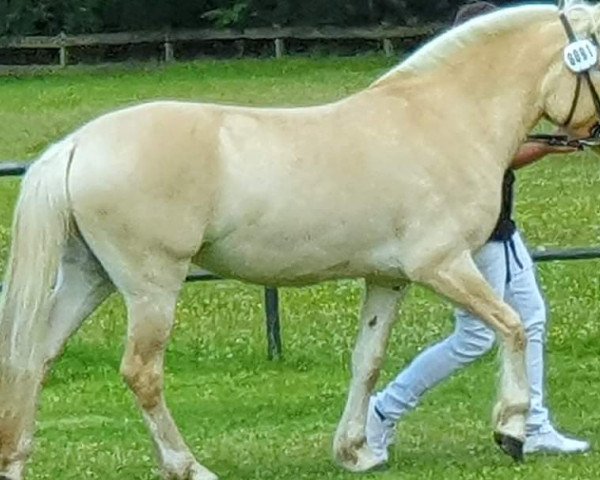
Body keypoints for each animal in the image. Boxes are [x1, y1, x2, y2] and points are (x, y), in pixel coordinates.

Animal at [1, 0, 600, 480]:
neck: (441, 119)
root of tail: (78, 144)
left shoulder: (388, 280)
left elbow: (368, 360)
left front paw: (357, 451)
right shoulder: (443, 265)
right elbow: (512, 325)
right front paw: (512, 430)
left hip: (89, 276)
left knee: (37, 355)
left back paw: (17, 460)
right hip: (151, 287)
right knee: (141, 372)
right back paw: (188, 466)